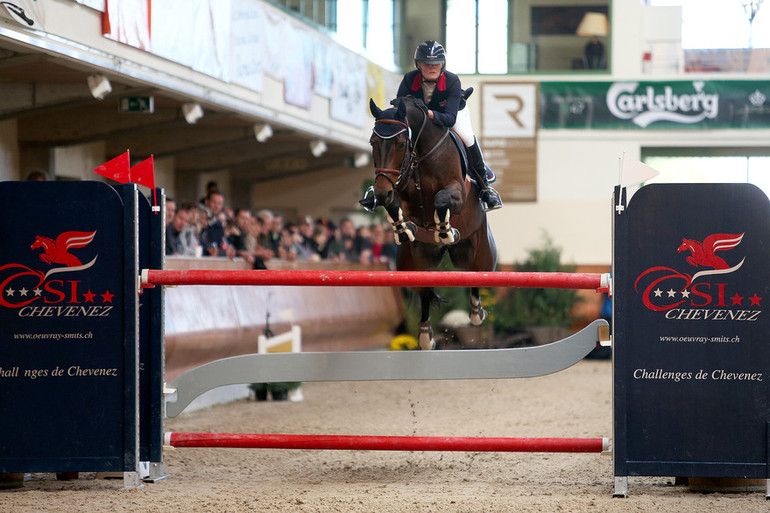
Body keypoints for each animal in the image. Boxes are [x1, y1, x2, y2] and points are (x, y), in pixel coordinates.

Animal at [368, 96, 498, 350]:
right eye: (372, 143)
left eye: (400, 143)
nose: (381, 192)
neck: (420, 154)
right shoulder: (400, 191)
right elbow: (396, 206)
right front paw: (404, 229)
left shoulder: (456, 193)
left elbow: (441, 199)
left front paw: (445, 230)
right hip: (410, 264)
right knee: (424, 290)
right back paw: (425, 336)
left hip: (483, 256)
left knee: (475, 275)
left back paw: (476, 312)